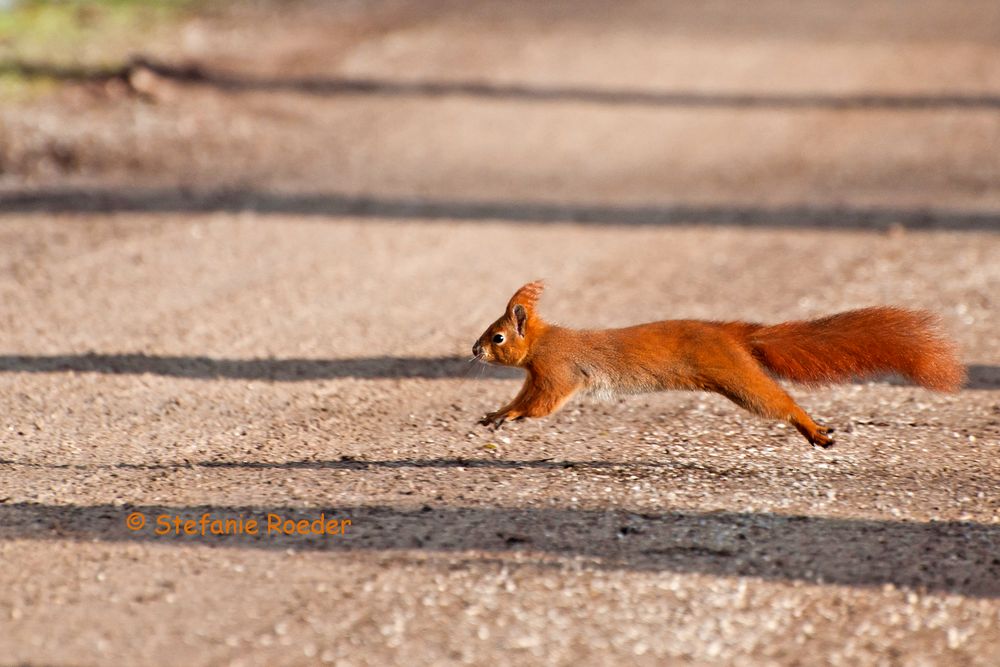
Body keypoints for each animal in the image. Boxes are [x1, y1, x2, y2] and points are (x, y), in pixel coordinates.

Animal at [472, 280, 964, 446]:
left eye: (498, 336)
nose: (473, 351)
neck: (543, 342)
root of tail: (733, 333)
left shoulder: (557, 371)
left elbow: (541, 404)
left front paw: (506, 416)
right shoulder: (537, 374)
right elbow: (524, 398)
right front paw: (496, 413)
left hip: (736, 376)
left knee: (778, 402)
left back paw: (813, 429)